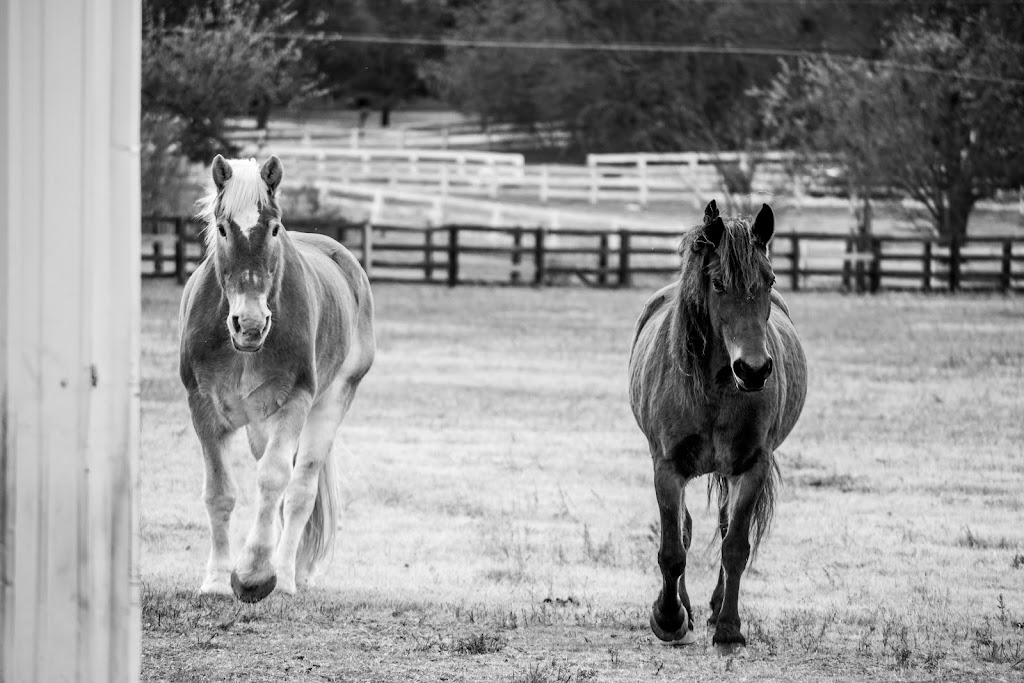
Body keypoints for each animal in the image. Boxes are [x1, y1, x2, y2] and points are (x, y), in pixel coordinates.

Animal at [180, 156, 376, 602]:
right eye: (222, 227)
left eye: (273, 228)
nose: (250, 324)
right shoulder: (202, 406)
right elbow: (220, 492)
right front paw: (216, 581)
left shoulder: (294, 404)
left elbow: (274, 482)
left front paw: (253, 574)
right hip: (258, 428)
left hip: (330, 403)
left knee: (300, 491)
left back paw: (286, 577)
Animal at [622, 201, 806, 651]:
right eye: (718, 284)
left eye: (770, 279)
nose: (753, 370)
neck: (714, 388)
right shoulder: (668, 468)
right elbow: (673, 549)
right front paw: (668, 618)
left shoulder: (753, 466)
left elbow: (735, 546)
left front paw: (729, 628)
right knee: (685, 532)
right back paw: (685, 608)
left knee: (724, 530)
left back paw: (715, 606)